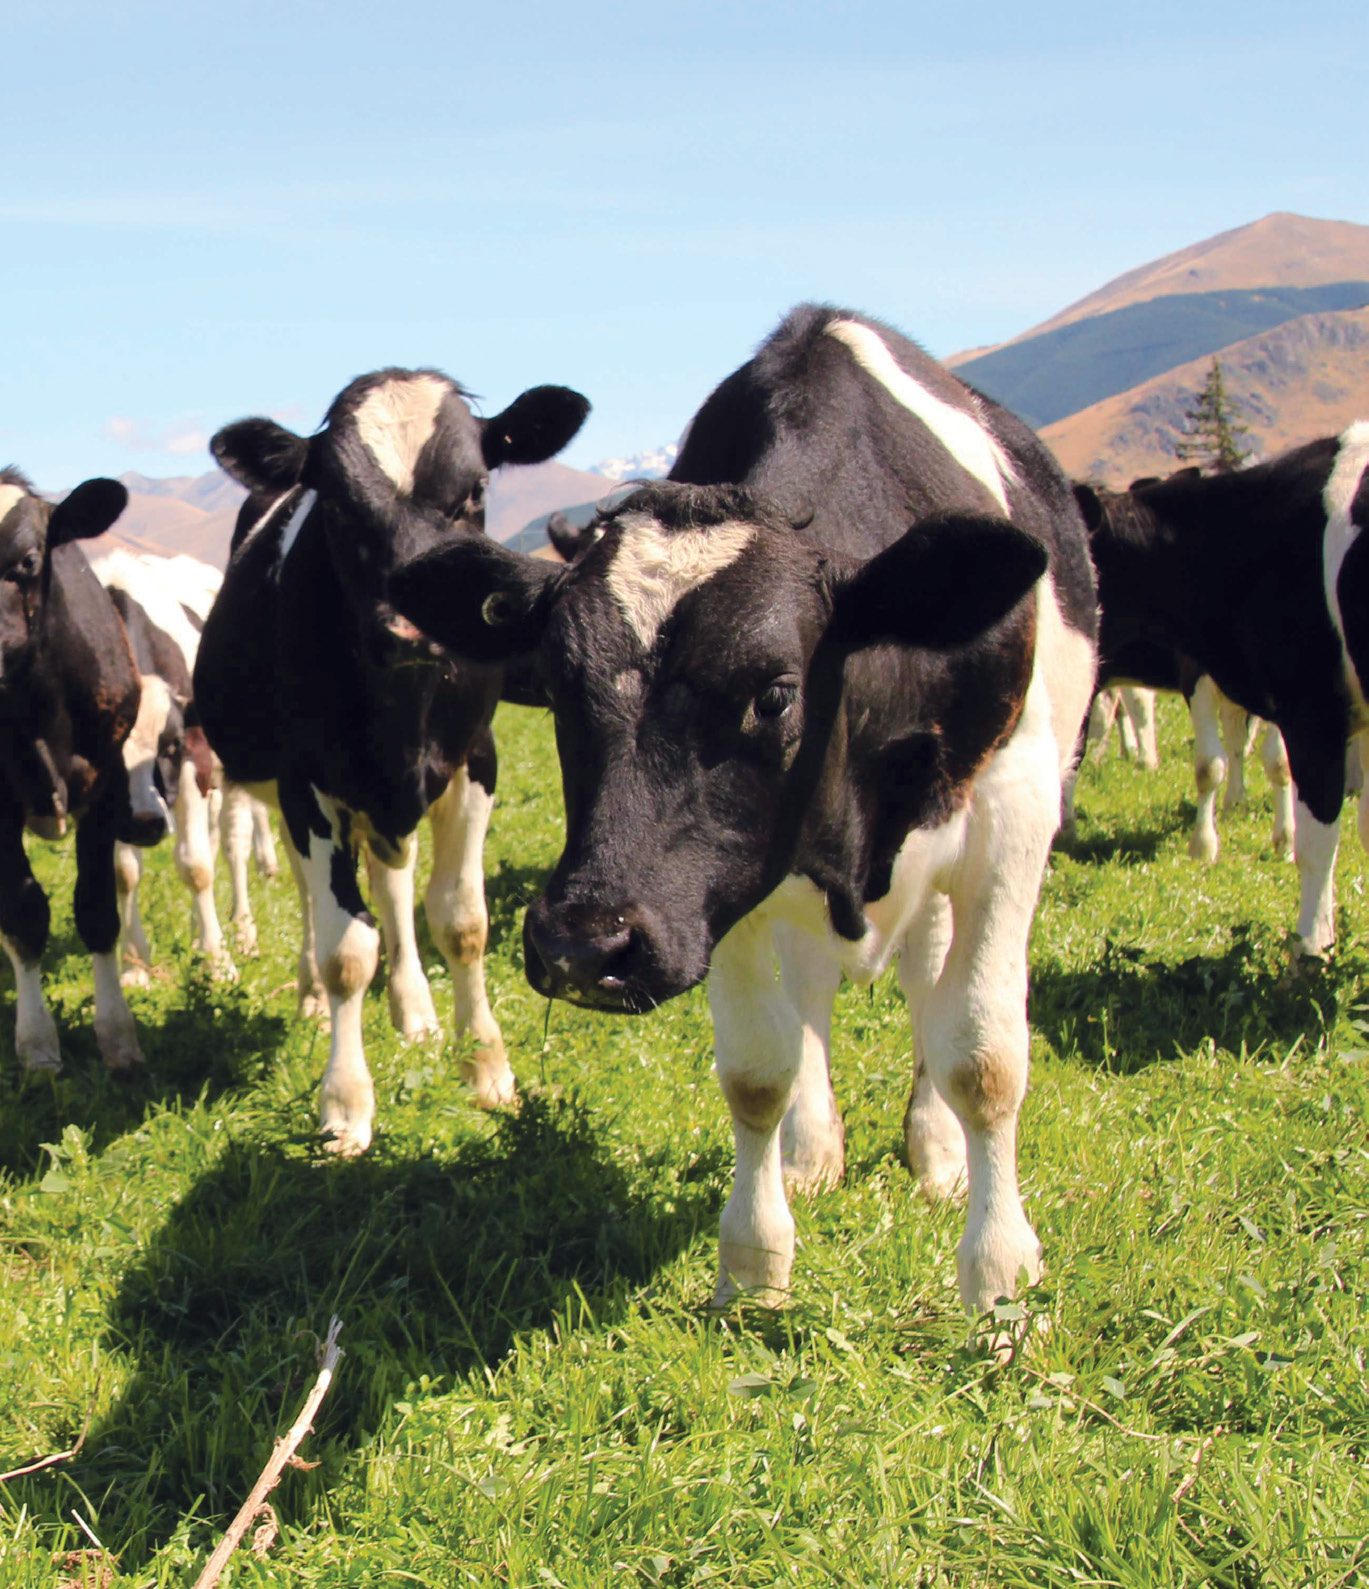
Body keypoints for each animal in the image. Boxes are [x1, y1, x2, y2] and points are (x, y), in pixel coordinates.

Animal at [194, 366, 590, 1155]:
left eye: (474, 493)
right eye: (338, 505)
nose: (411, 627)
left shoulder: (476, 760)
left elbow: (461, 922)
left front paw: (486, 1066)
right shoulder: (307, 783)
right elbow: (346, 949)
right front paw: (345, 1103)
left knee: (395, 886)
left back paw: (415, 1011)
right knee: (317, 901)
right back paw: (313, 999)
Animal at [389, 304, 1098, 1321]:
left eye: (773, 692)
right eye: (556, 684)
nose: (582, 947)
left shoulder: (1013, 809)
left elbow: (982, 1053)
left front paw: (997, 1282)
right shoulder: (712, 887)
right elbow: (759, 1068)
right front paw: (755, 1266)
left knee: (927, 979)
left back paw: (933, 1149)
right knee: (812, 990)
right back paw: (813, 1150)